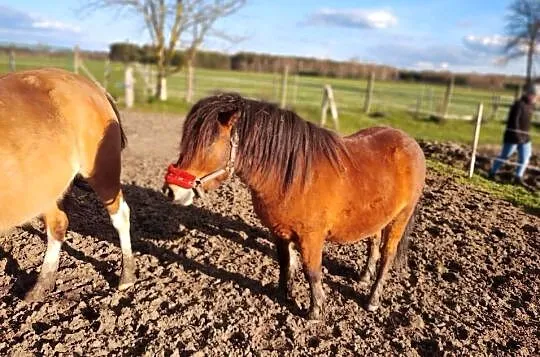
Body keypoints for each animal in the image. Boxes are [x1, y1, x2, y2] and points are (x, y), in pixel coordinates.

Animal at [0, 67, 135, 300]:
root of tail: (92, 85)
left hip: (103, 171)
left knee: (121, 216)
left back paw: (126, 277)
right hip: (43, 187)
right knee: (58, 223)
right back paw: (42, 285)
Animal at [162, 93, 424, 318]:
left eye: (209, 145)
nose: (171, 191)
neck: (293, 177)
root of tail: (410, 142)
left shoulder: (312, 237)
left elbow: (312, 271)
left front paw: (316, 310)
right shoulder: (279, 231)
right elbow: (285, 263)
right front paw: (284, 294)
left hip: (401, 217)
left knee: (387, 256)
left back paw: (373, 299)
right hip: (377, 215)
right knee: (373, 242)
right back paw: (363, 277)